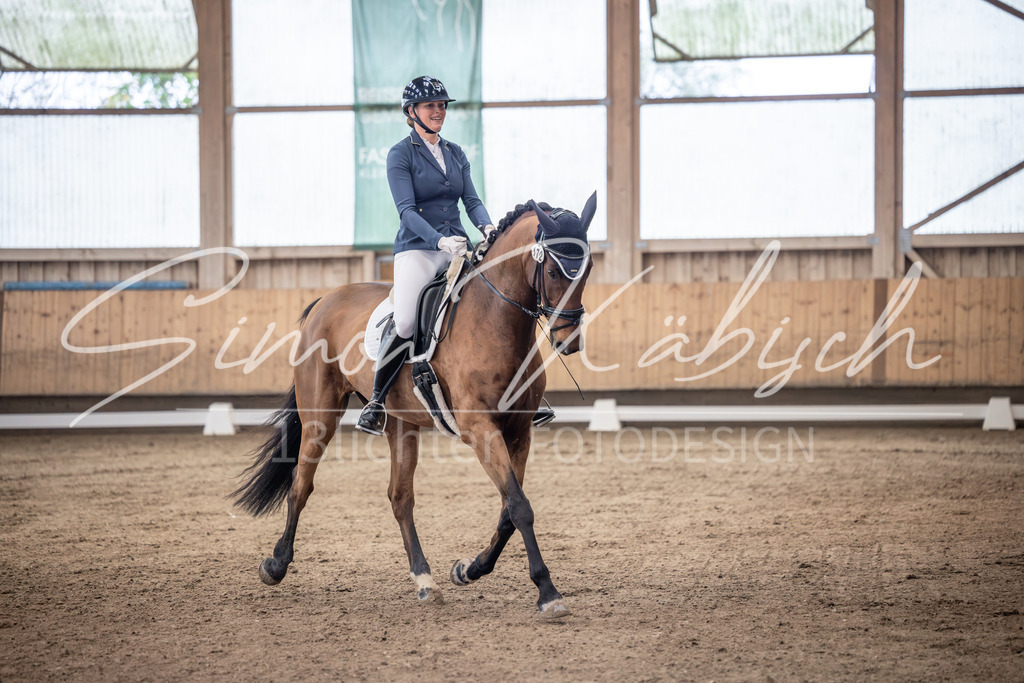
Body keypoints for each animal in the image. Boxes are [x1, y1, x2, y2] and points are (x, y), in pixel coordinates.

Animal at [232, 194, 597, 618]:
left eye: (587, 269)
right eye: (553, 271)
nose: (569, 341)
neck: (493, 319)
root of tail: (326, 299)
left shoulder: (518, 432)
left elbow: (509, 509)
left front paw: (469, 570)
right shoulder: (480, 430)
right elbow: (520, 507)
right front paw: (547, 592)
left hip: (401, 423)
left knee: (400, 497)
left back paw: (424, 580)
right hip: (319, 418)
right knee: (301, 486)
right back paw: (276, 564)